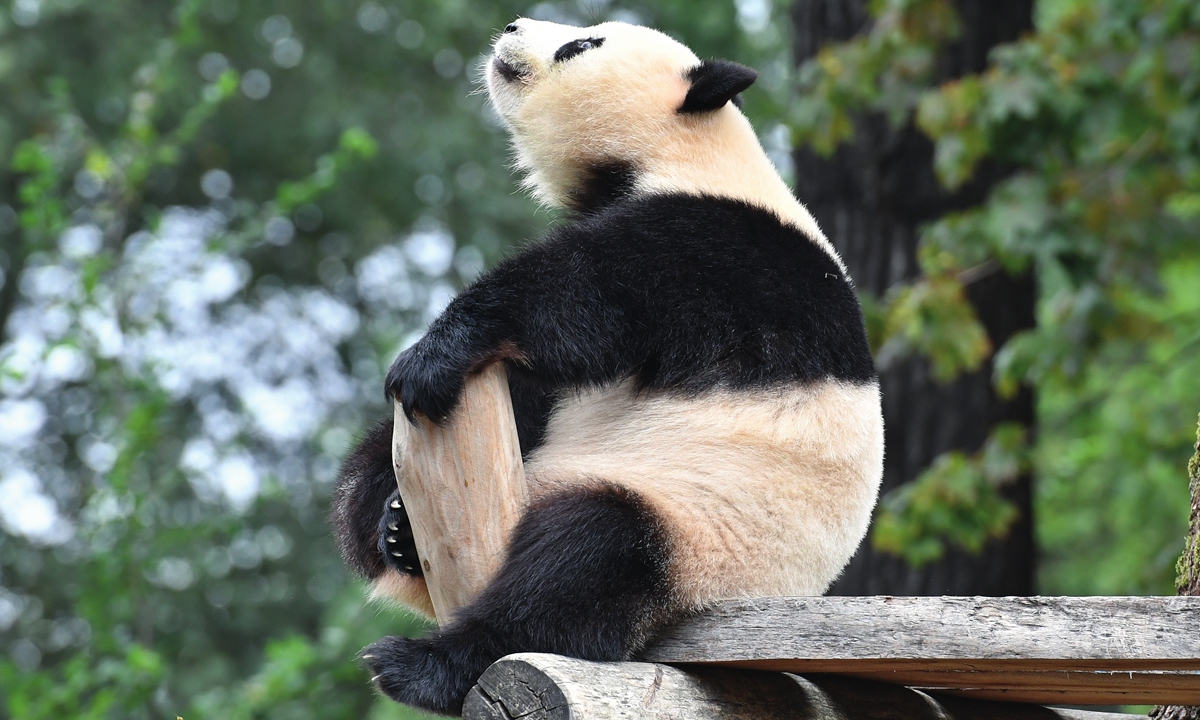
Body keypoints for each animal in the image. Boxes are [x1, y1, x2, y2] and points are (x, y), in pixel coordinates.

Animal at [328, 16, 883, 715]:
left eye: (581, 45)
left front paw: (432, 357)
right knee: (365, 479)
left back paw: (420, 665)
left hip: (698, 534)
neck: (686, 150)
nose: (512, 26)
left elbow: (586, 294)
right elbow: (538, 377)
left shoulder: (720, 249)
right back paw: (396, 528)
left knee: (587, 560)